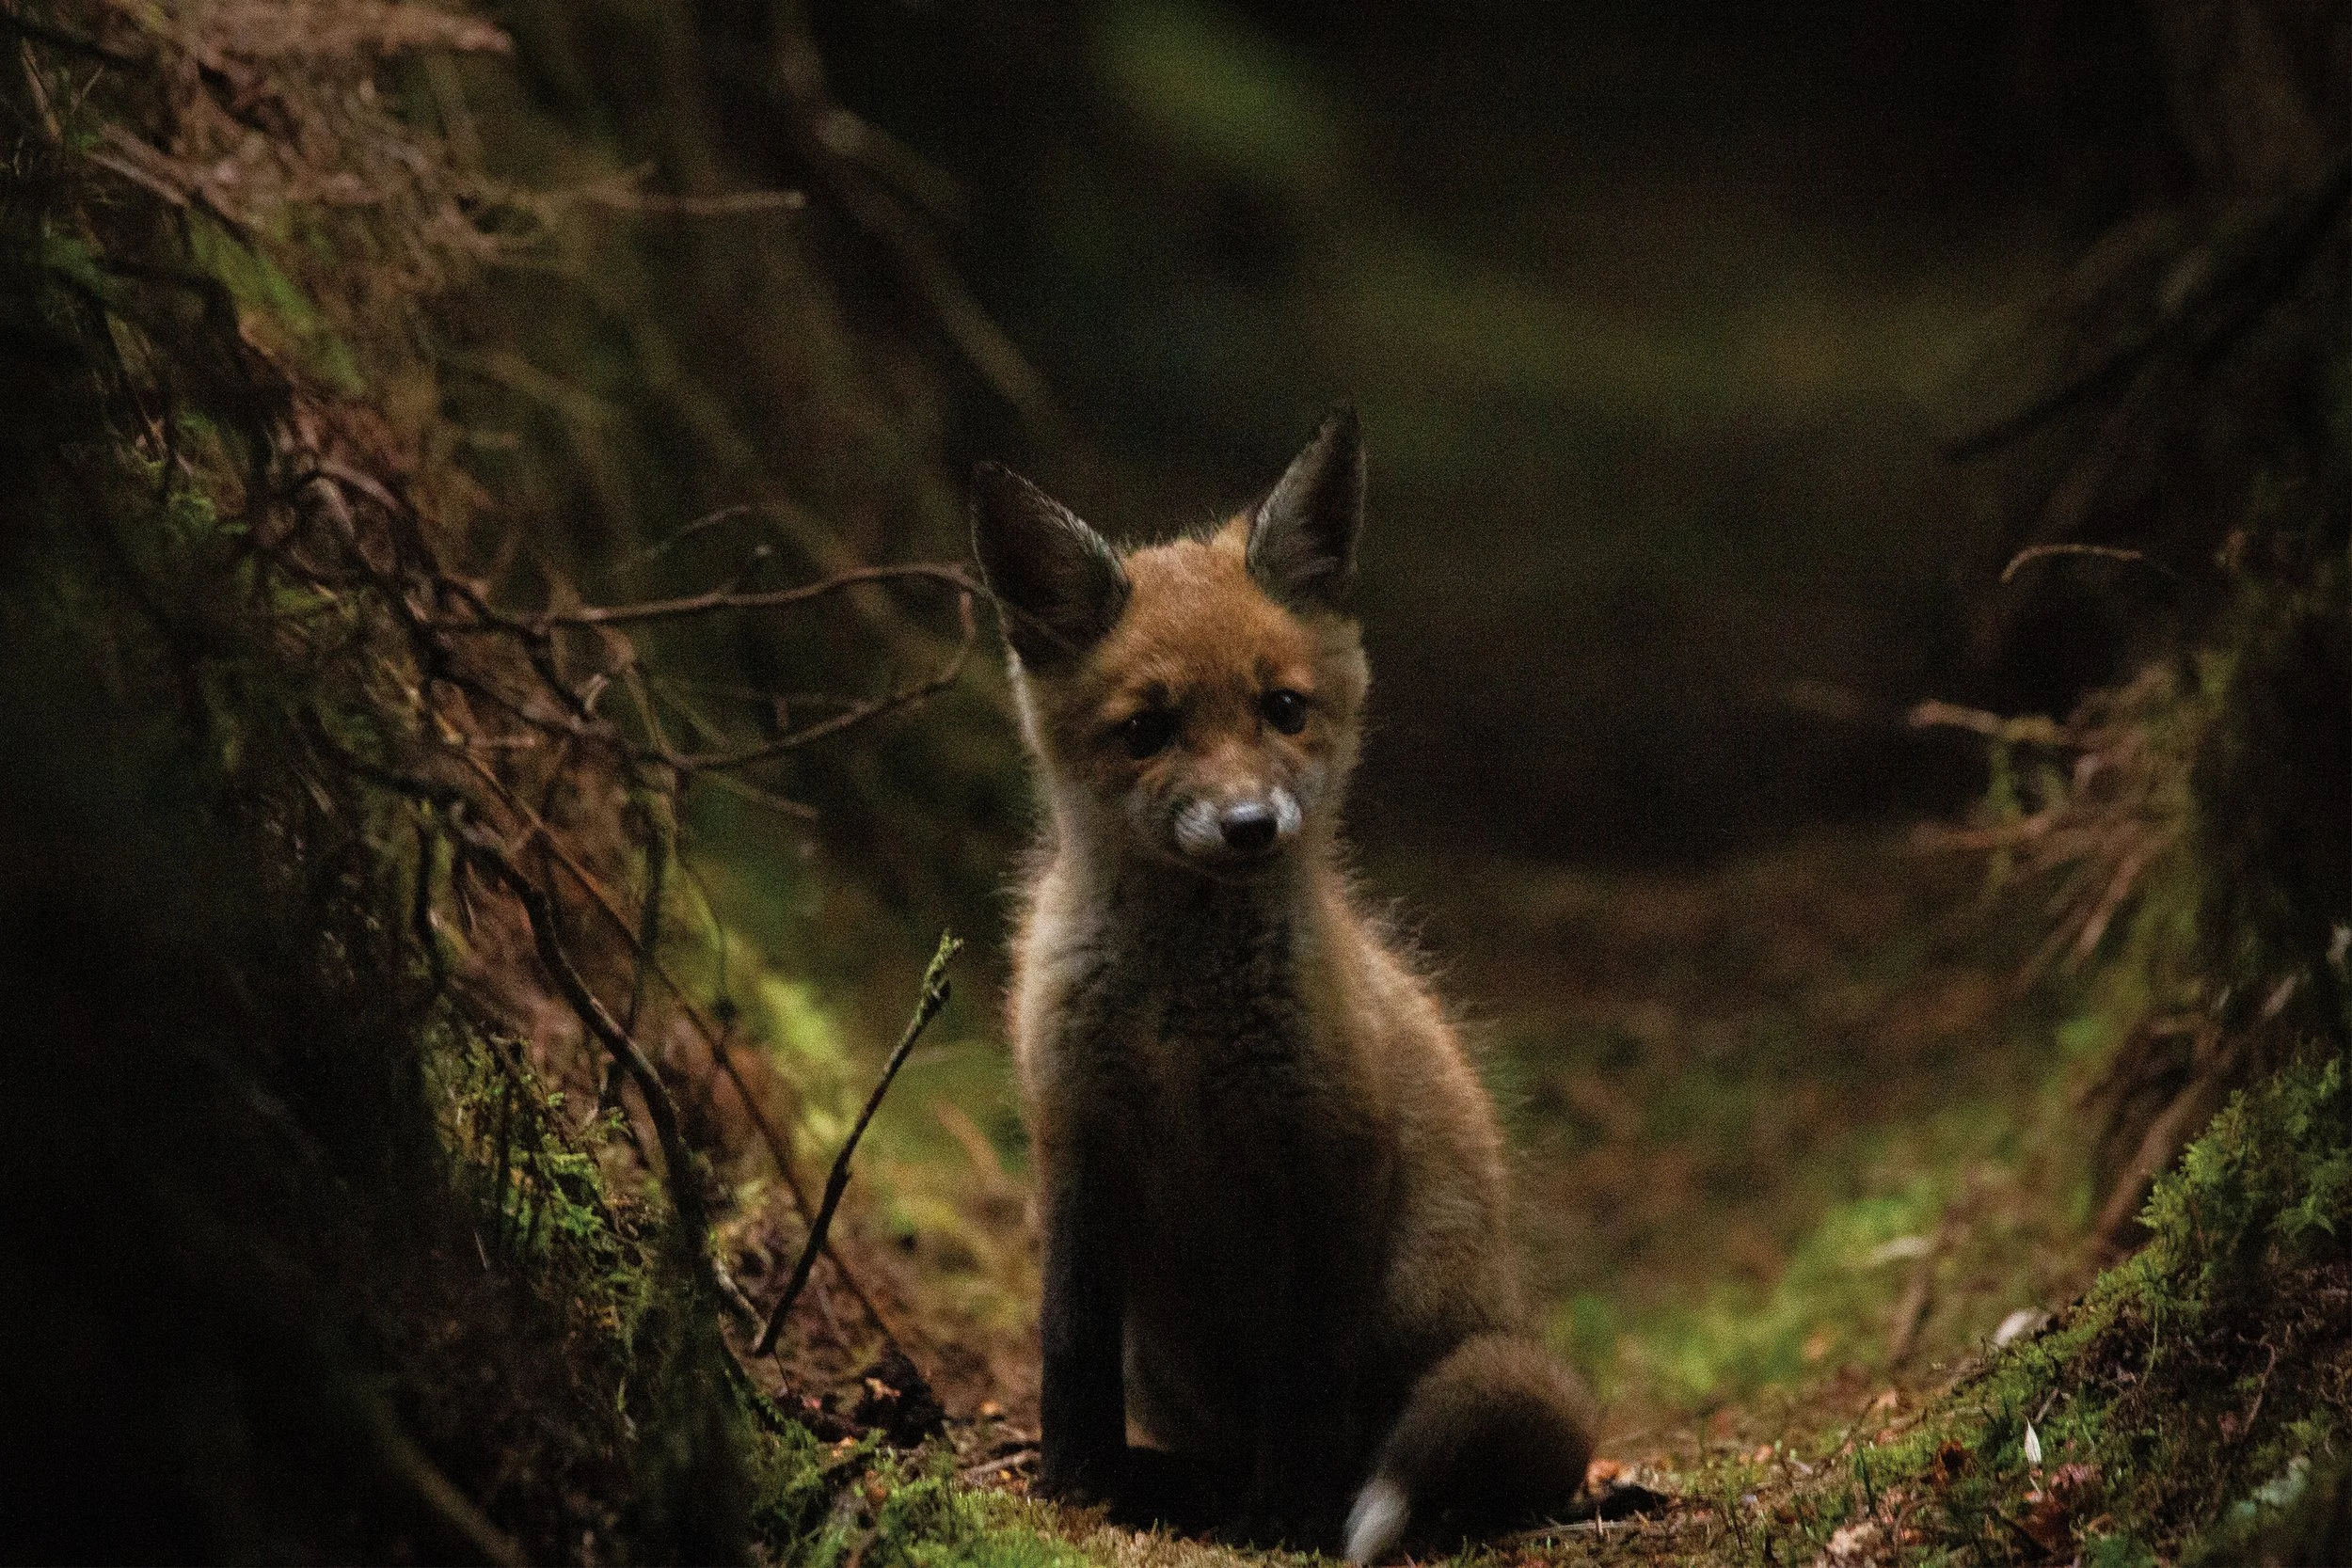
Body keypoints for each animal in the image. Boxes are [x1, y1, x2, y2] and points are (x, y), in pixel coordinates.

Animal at [970, 410, 1595, 1562]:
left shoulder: (1332, 1152)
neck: (1178, 1019)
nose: (1250, 824)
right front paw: (1075, 1486)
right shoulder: (1075, 1140)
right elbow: (1067, 1347)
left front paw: (1290, 1516)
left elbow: (1304, 1374)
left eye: (1284, 709)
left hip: (1419, 1294)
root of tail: (1508, 1313)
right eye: (1147, 730)